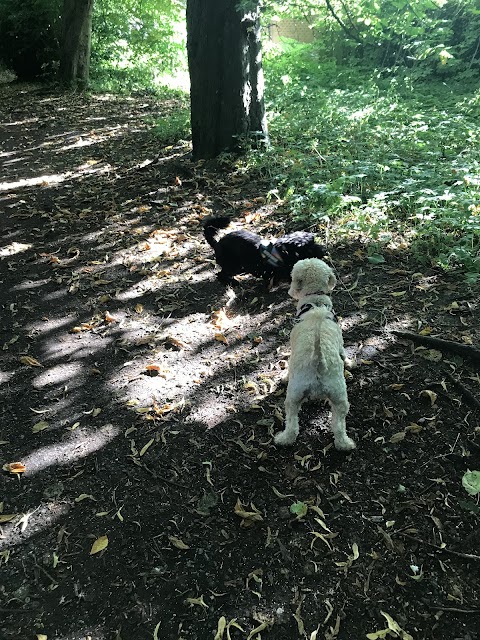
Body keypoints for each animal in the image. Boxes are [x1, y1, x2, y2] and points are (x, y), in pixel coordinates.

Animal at [274, 258, 356, 450]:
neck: (315, 300)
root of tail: (318, 363)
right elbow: (343, 352)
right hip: (339, 396)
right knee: (338, 426)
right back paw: (345, 444)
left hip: (294, 395)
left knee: (292, 423)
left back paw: (284, 438)